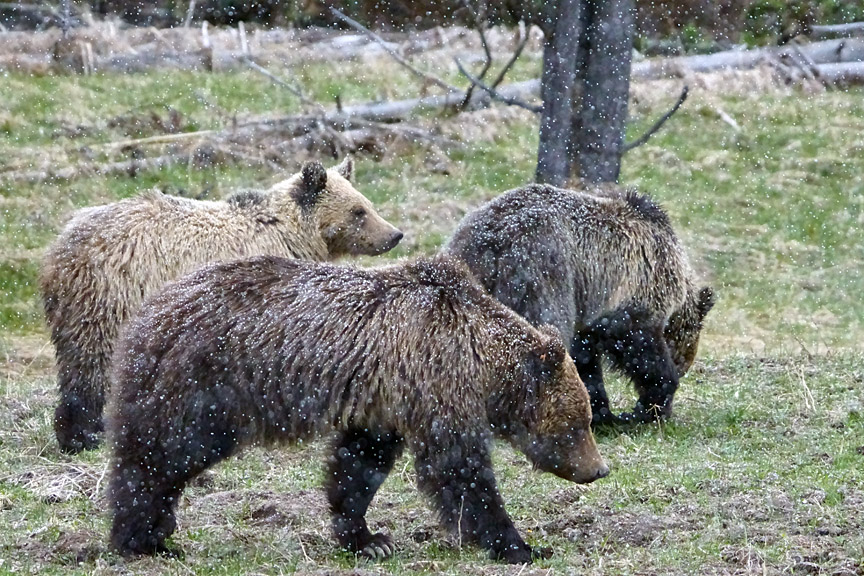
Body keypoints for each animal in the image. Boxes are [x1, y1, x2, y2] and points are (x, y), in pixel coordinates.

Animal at [41, 159, 404, 454]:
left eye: (367, 204)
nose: (394, 234)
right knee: (92, 362)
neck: (291, 235)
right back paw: (84, 435)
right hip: (111, 296)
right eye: (358, 211)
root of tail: (62, 246)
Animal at [106, 255, 608, 564]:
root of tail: (148, 312)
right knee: (161, 454)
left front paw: (368, 538)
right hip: (206, 385)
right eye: (579, 422)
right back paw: (141, 537)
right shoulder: (436, 382)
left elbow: (359, 465)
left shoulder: (382, 401)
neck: (479, 361)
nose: (599, 469)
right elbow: (459, 469)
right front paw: (518, 545)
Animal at [446, 183, 716, 424]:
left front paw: (602, 411)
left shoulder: (587, 314)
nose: (682, 367)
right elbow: (637, 345)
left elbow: (585, 358)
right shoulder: (634, 290)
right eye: (682, 362)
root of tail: (489, 244)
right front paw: (645, 407)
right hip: (541, 276)